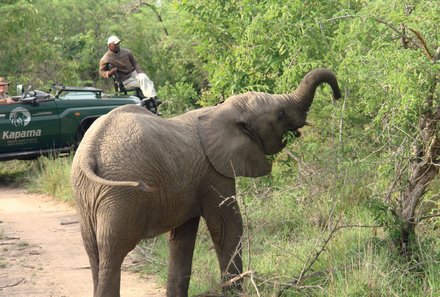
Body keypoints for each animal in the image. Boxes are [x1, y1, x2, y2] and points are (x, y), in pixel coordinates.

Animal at [70, 67, 342, 296]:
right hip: (121, 196)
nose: (338, 96)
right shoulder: (214, 172)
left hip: (87, 194)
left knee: (93, 252)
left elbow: (182, 239)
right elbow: (227, 226)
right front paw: (234, 293)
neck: (222, 110)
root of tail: (90, 150)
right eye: (281, 114)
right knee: (112, 253)